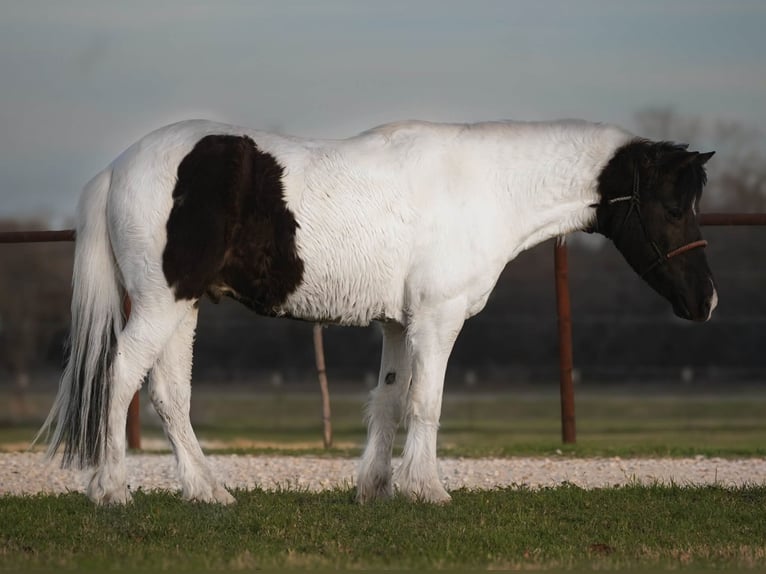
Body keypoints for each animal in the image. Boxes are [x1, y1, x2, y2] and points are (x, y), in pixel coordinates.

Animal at [37, 118, 716, 505]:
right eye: (673, 207)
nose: (706, 301)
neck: (482, 186)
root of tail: (117, 170)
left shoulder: (398, 323)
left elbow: (389, 399)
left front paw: (375, 490)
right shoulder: (438, 319)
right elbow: (426, 402)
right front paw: (427, 490)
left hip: (183, 308)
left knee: (168, 396)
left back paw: (209, 494)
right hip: (161, 303)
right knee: (120, 379)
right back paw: (112, 492)